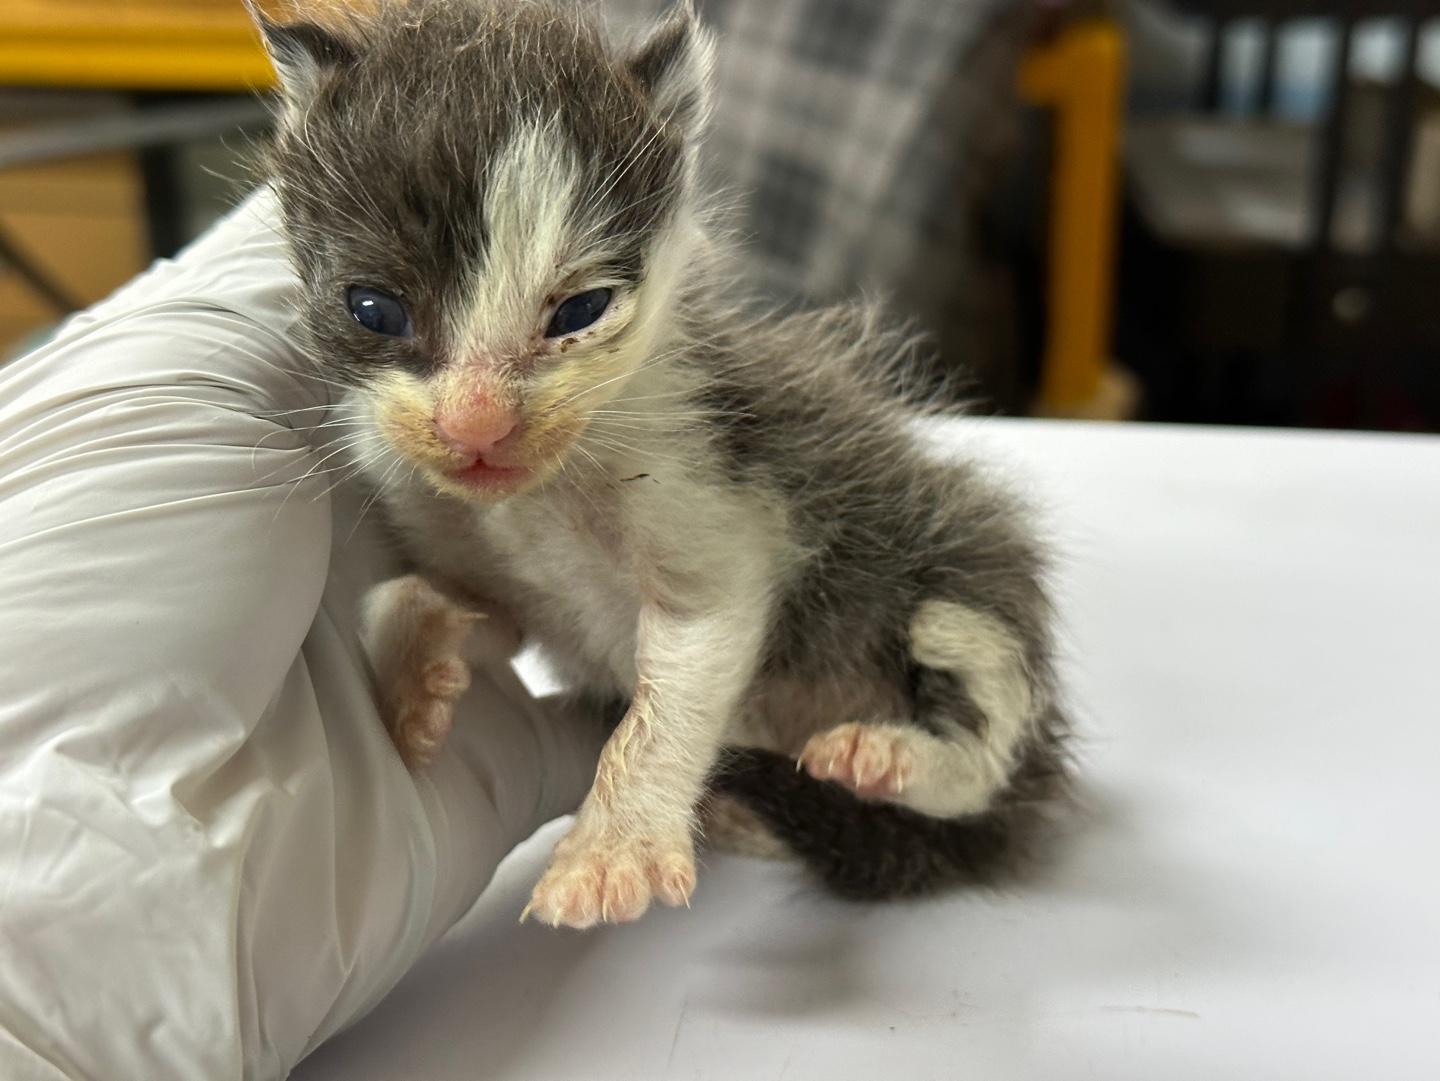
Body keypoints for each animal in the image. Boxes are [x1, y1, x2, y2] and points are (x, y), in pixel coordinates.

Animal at [256, 0, 1071, 932]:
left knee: (981, 693)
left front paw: (616, 844)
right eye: (374, 309)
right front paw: (416, 669)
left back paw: (895, 756)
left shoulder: (706, 481)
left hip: (956, 557)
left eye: (581, 310)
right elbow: (429, 602)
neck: (543, 488)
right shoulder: (463, 535)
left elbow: (673, 686)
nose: (477, 425)